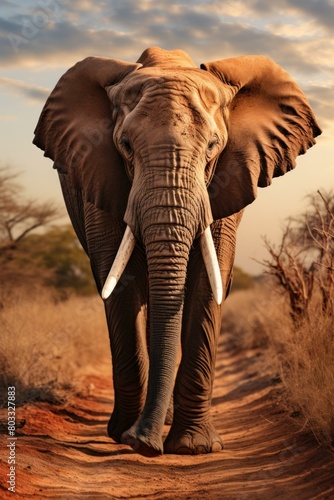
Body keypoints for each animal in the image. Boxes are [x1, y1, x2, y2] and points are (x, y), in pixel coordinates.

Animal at [33, 47, 320, 458]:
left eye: (214, 146)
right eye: (125, 145)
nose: (144, 443)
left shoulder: (226, 182)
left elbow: (207, 283)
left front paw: (192, 447)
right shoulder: (98, 176)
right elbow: (120, 283)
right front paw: (127, 436)